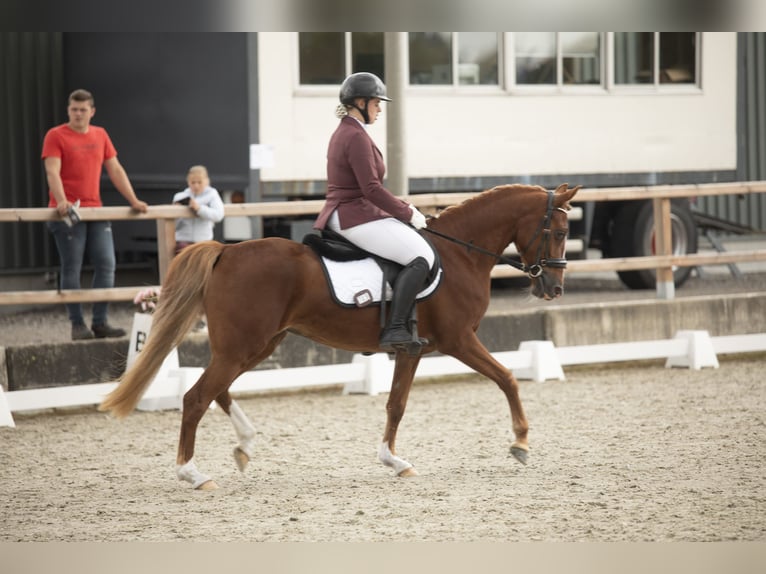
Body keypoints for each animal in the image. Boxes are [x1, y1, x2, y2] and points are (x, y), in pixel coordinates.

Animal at [102, 184, 584, 490]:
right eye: (560, 233)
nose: (554, 289)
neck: (460, 253)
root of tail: (226, 251)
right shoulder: (458, 340)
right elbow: (507, 377)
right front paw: (520, 442)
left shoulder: (413, 350)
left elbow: (396, 404)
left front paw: (395, 461)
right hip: (244, 345)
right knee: (196, 398)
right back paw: (193, 474)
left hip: (256, 344)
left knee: (216, 391)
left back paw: (244, 445)